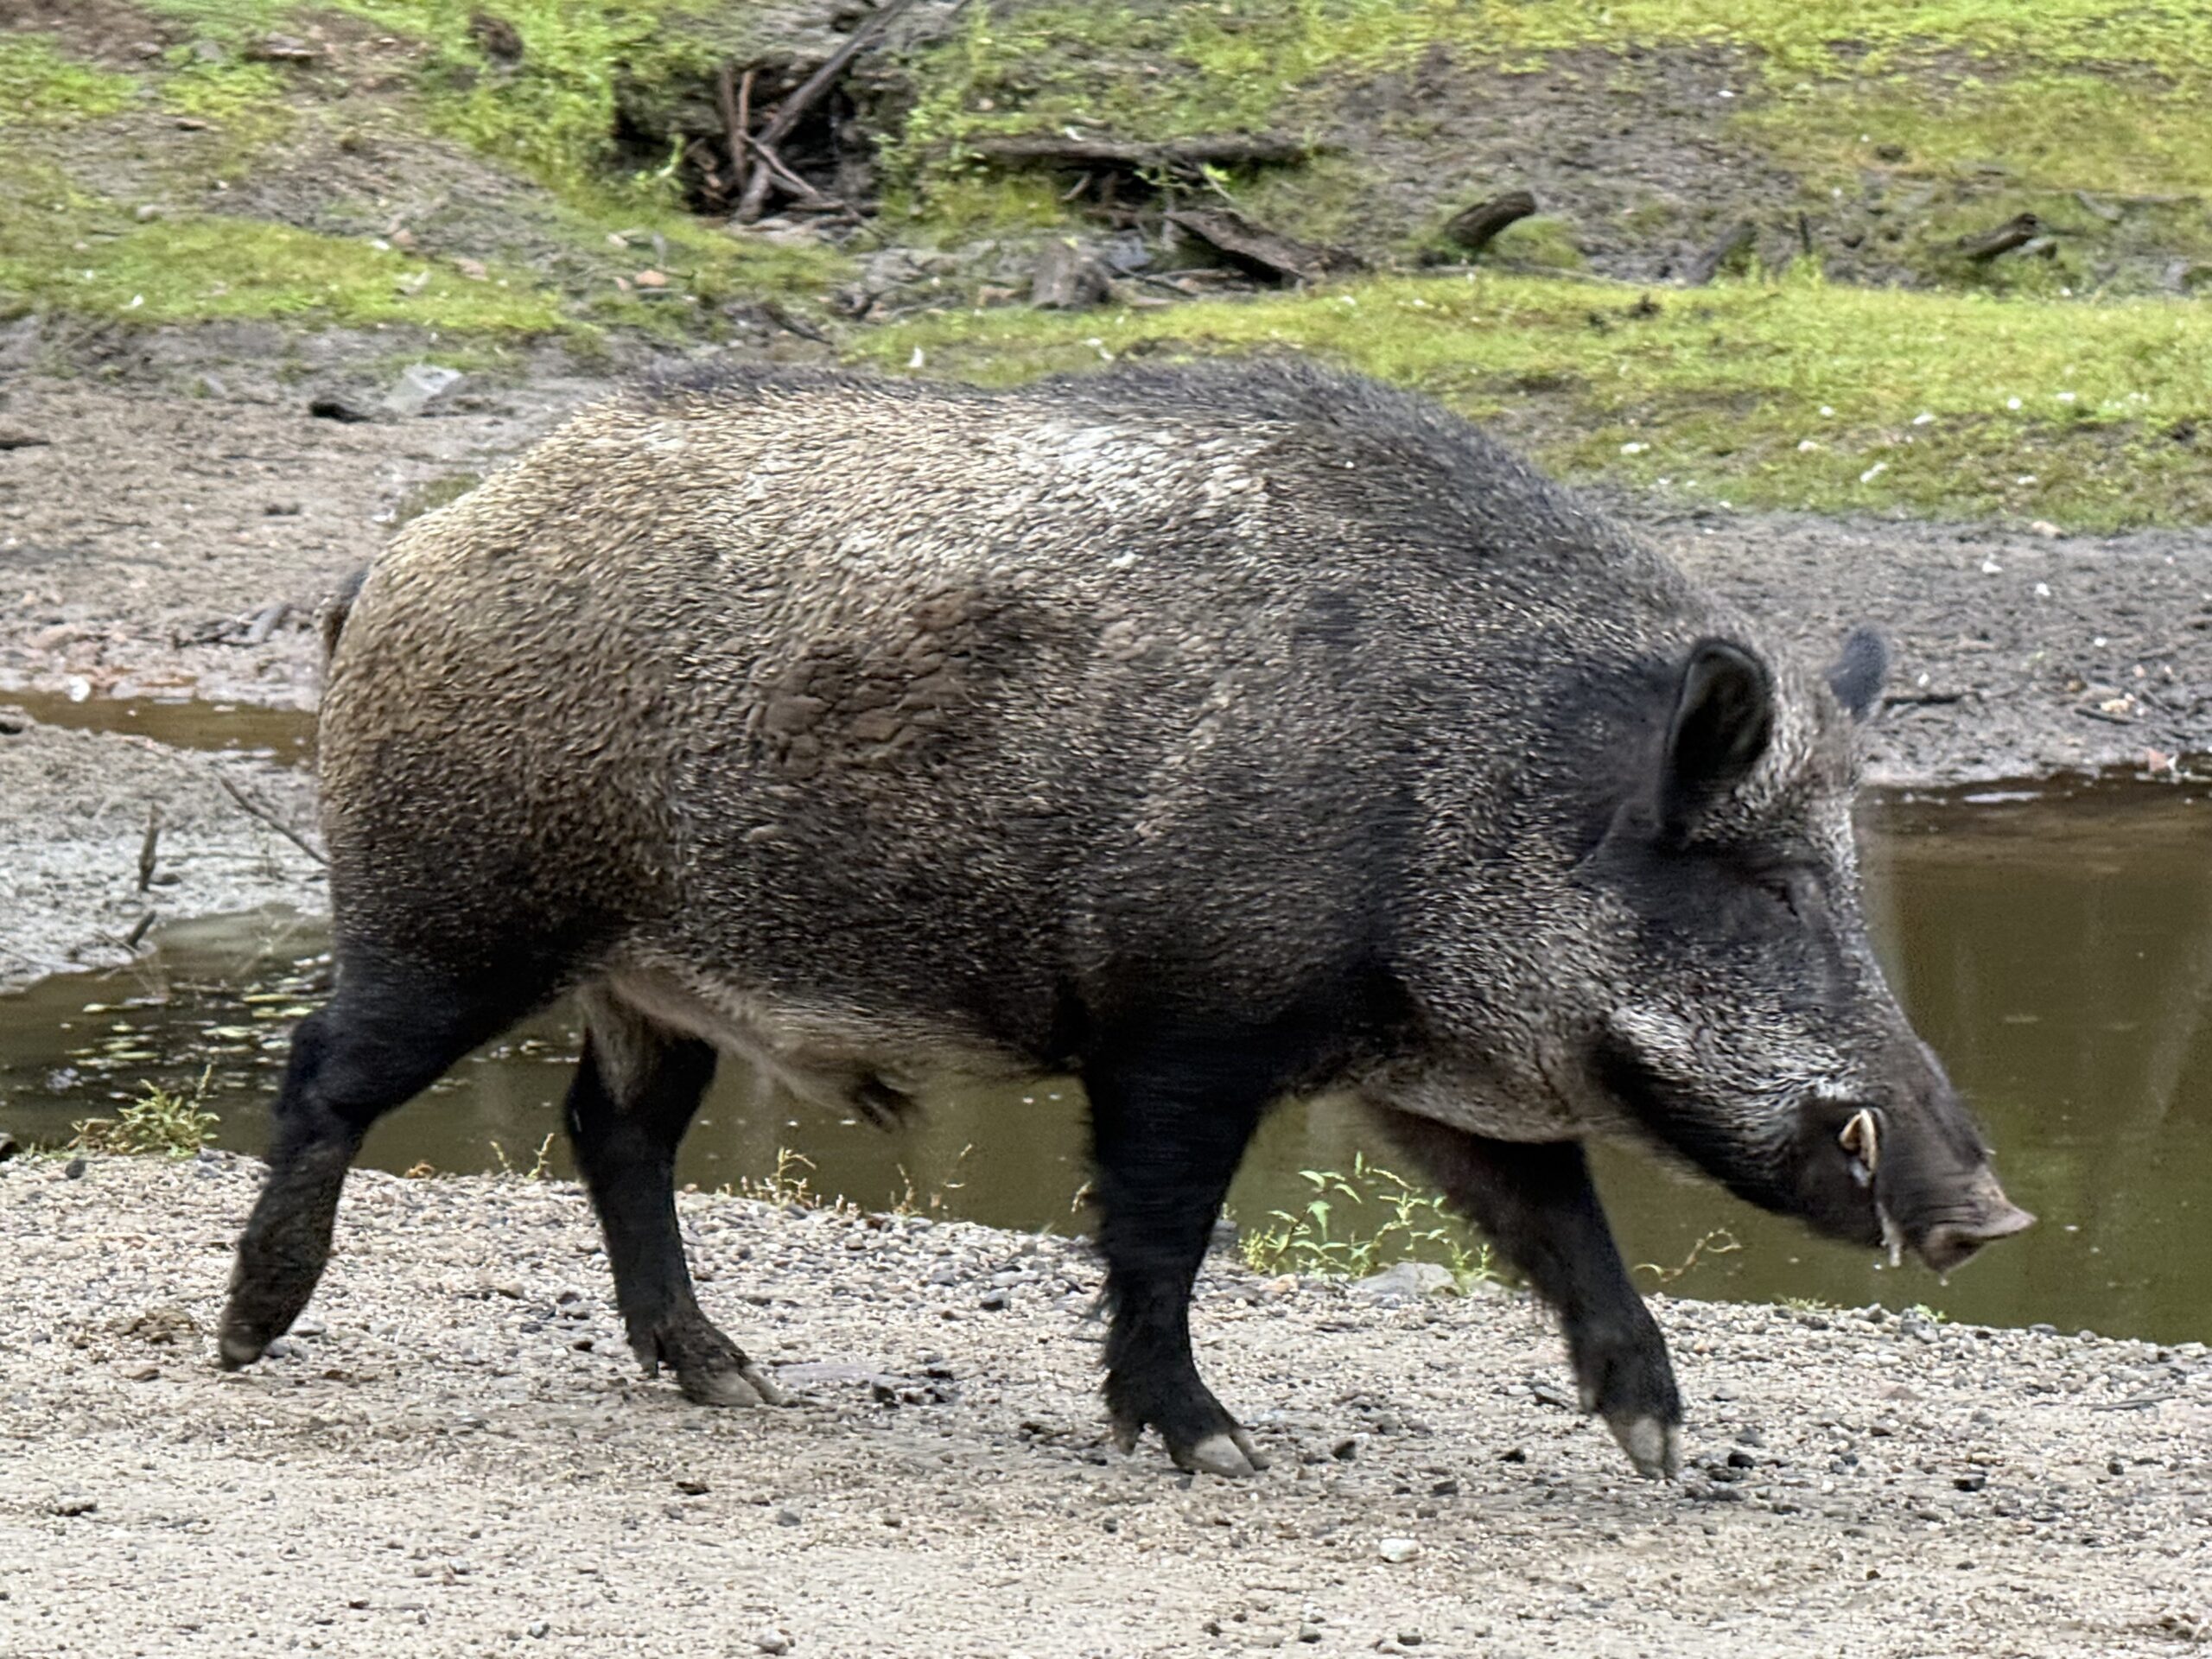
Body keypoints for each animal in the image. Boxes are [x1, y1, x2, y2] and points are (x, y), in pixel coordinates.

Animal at [219, 362, 2033, 1479]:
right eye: (1762, 877)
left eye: (1839, 865)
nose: (1991, 1213)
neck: (1459, 784)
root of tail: (400, 557)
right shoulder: (1180, 1028)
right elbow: (1160, 1237)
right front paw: (1215, 1449)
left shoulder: (1422, 1081)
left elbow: (1562, 1224)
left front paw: (1661, 1449)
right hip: (455, 910)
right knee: (325, 1069)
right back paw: (251, 1338)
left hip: (652, 981)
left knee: (614, 1135)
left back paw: (735, 1380)